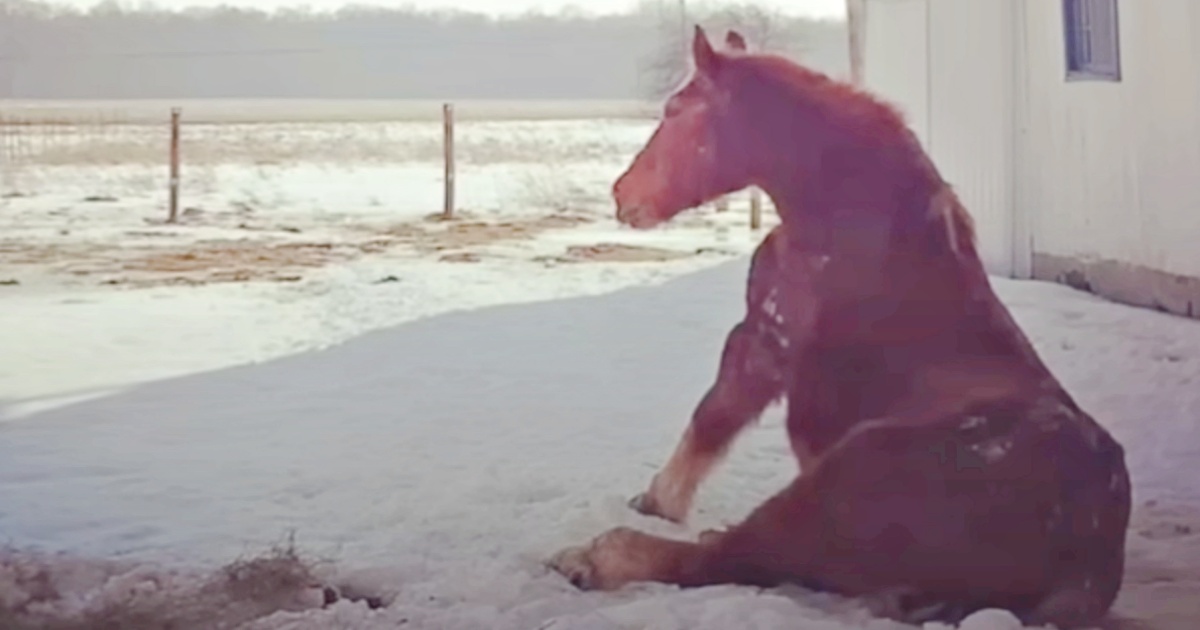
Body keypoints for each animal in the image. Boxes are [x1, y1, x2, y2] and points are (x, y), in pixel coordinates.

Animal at [548, 26, 1132, 629]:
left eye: (675, 110)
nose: (622, 195)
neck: (847, 224)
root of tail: (1087, 559)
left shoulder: (763, 341)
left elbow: (711, 418)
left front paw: (657, 501)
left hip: (838, 476)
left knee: (727, 556)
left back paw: (596, 557)